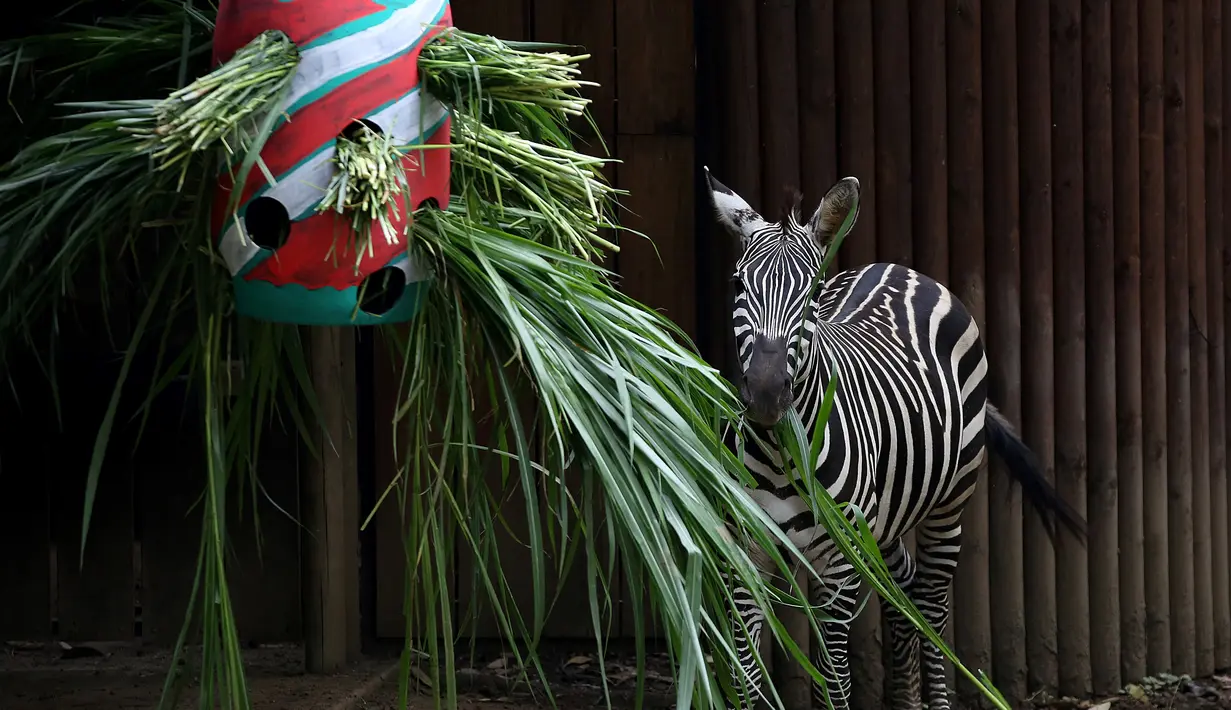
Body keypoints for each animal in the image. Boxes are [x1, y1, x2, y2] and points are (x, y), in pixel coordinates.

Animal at [704, 168, 1087, 710]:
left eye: (812, 293)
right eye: (738, 284)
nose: (764, 393)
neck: (784, 454)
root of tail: (899, 268)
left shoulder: (840, 565)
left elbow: (834, 681)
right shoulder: (747, 554)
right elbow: (747, 678)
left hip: (947, 507)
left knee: (930, 601)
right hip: (883, 523)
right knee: (901, 589)